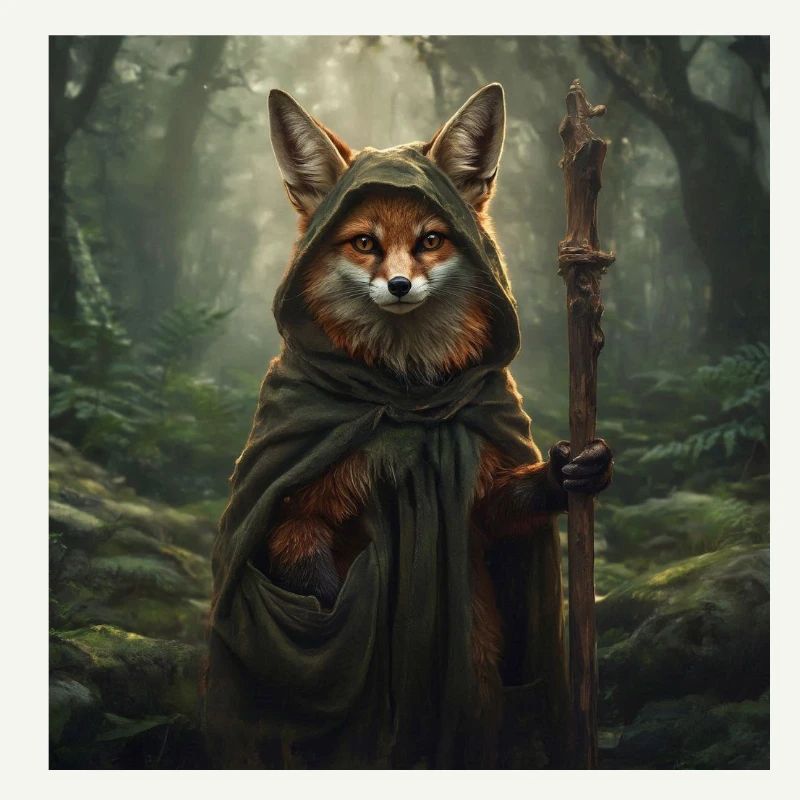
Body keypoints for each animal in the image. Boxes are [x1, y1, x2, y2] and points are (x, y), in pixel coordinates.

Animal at [264, 84, 613, 712]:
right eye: (364, 243)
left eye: (430, 240)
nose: (400, 286)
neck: (404, 395)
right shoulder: (294, 503)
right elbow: (311, 573)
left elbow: (502, 507)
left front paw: (574, 470)